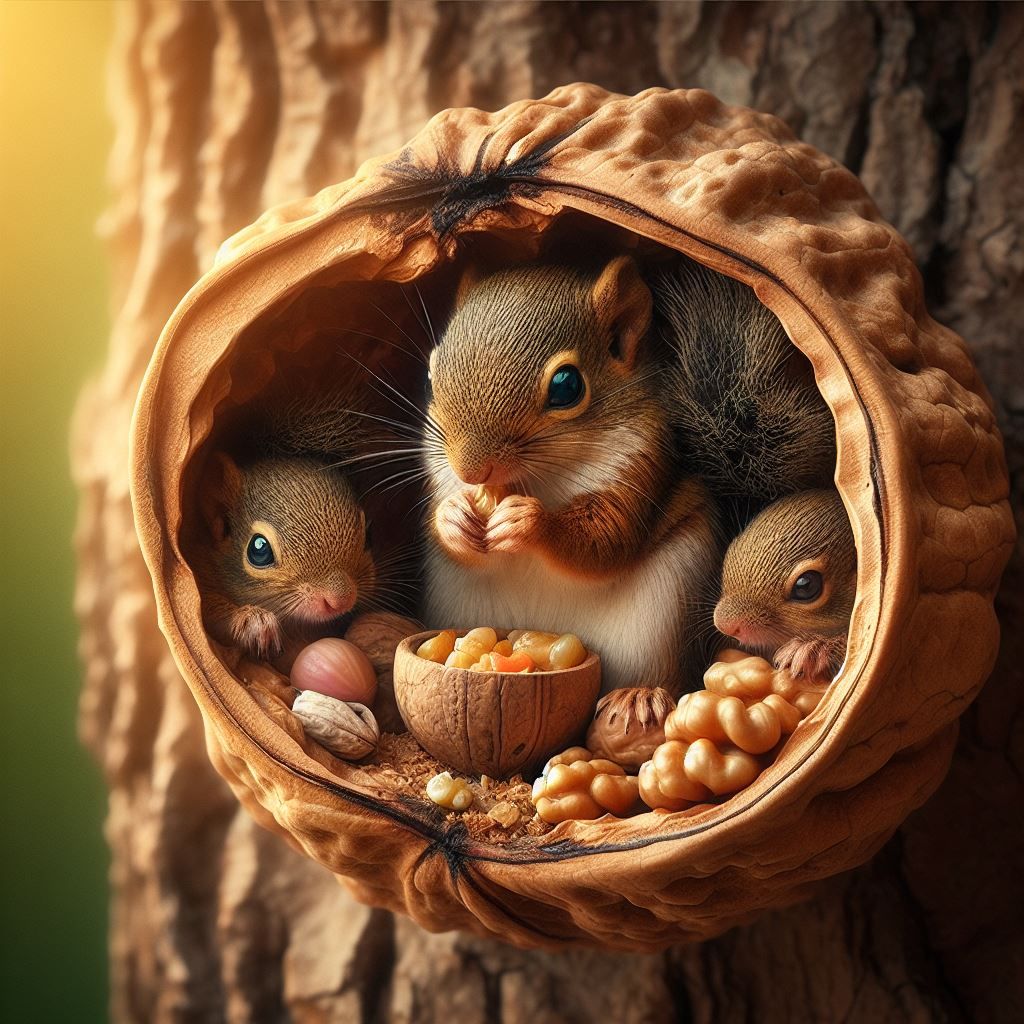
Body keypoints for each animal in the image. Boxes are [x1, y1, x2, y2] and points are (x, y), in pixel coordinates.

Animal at [421, 257, 721, 695]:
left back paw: (638, 697)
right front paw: (452, 517)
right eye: (430, 372)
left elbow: (604, 540)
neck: (539, 477)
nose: (470, 470)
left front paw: (527, 522)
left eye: (566, 385)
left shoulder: (639, 465)